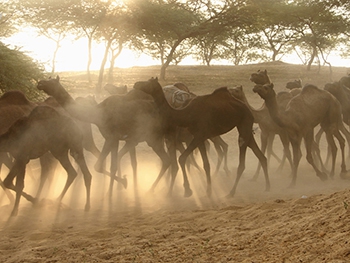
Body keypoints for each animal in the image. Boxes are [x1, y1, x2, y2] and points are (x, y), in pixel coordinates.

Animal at [134, 77, 270, 199]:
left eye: (148, 83)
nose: (136, 84)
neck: (186, 114)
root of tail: (249, 110)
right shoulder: (199, 137)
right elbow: (205, 164)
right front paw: (207, 191)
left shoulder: (200, 135)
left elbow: (183, 158)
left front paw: (188, 190)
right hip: (245, 128)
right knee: (260, 156)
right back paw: (266, 186)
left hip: (244, 123)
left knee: (242, 160)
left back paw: (231, 192)